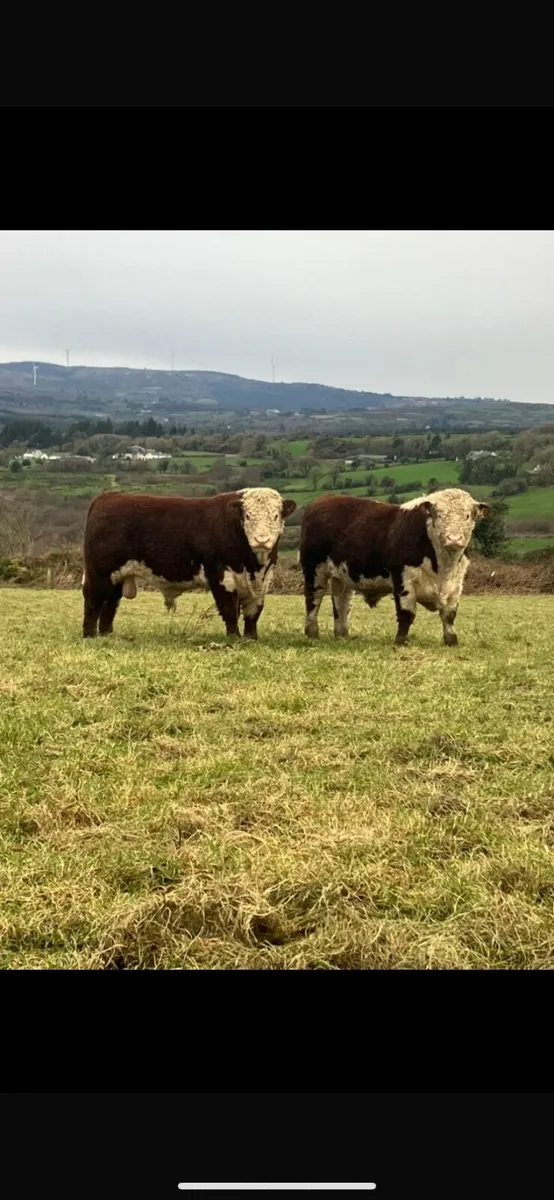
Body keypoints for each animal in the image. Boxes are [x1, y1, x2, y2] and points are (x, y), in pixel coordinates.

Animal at [82, 487, 297, 640]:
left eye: (276, 516)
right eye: (248, 516)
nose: (261, 540)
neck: (253, 567)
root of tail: (109, 497)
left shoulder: (263, 583)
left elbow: (253, 613)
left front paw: (252, 638)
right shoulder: (220, 576)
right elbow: (229, 610)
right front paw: (234, 637)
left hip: (118, 575)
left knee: (111, 603)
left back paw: (106, 634)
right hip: (99, 572)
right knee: (93, 600)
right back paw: (90, 635)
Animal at [299, 488, 490, 647]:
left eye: (467, 515)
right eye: (439, 515)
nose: (454, 539)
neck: (443, 567)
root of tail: (325, 499)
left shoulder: (456, 584)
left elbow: (449, 615)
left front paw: (451, 640)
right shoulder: (403, 579)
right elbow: (407, 613)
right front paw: (401, 640)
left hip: (343, 577)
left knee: (341, 604)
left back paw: (342, 634)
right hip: (314, 570)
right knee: (313, 599)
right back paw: (312, 632)